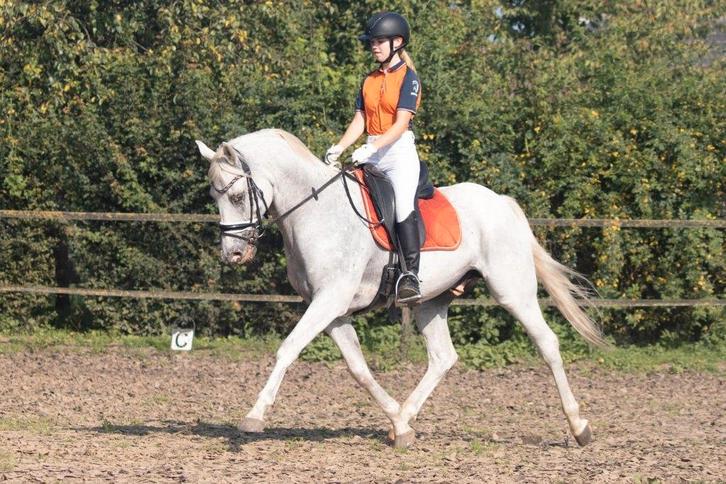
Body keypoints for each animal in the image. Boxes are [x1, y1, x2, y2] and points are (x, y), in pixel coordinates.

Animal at [196, 128, 604, 448]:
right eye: (214, 198)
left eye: (236, 196)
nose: (233, 254)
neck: (316, 211)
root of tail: (502, 202)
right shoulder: (332, 310)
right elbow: (358, 368)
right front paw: (397, 423)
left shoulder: (329, 301)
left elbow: (288, 348)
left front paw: (254, 415)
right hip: (430, 300)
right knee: (443, 357)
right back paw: (404, 422)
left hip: (512, 291)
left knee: (547, 343)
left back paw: (579, 427)